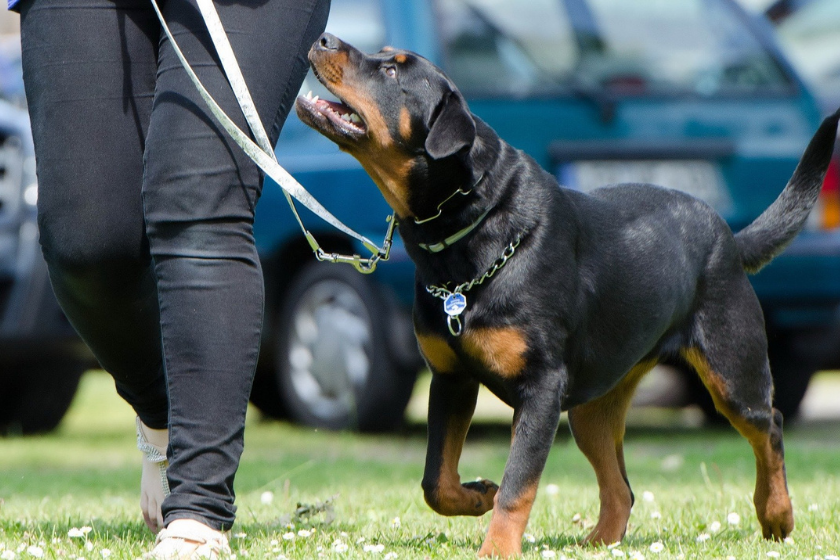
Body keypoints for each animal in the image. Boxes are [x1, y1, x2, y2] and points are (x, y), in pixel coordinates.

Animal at [296, 34, 840, 556]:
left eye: (392, 71)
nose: (324, 38)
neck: (467, 231)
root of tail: (729, 236)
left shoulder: (540, 389)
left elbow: (519, 485)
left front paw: (496, 548)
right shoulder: (450, 378)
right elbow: (436, 481)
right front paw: (478, 495)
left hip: (731, 367)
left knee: (769, 425)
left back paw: (776, 514)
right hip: (592, 406)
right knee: (621, 486)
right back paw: (600, 541)